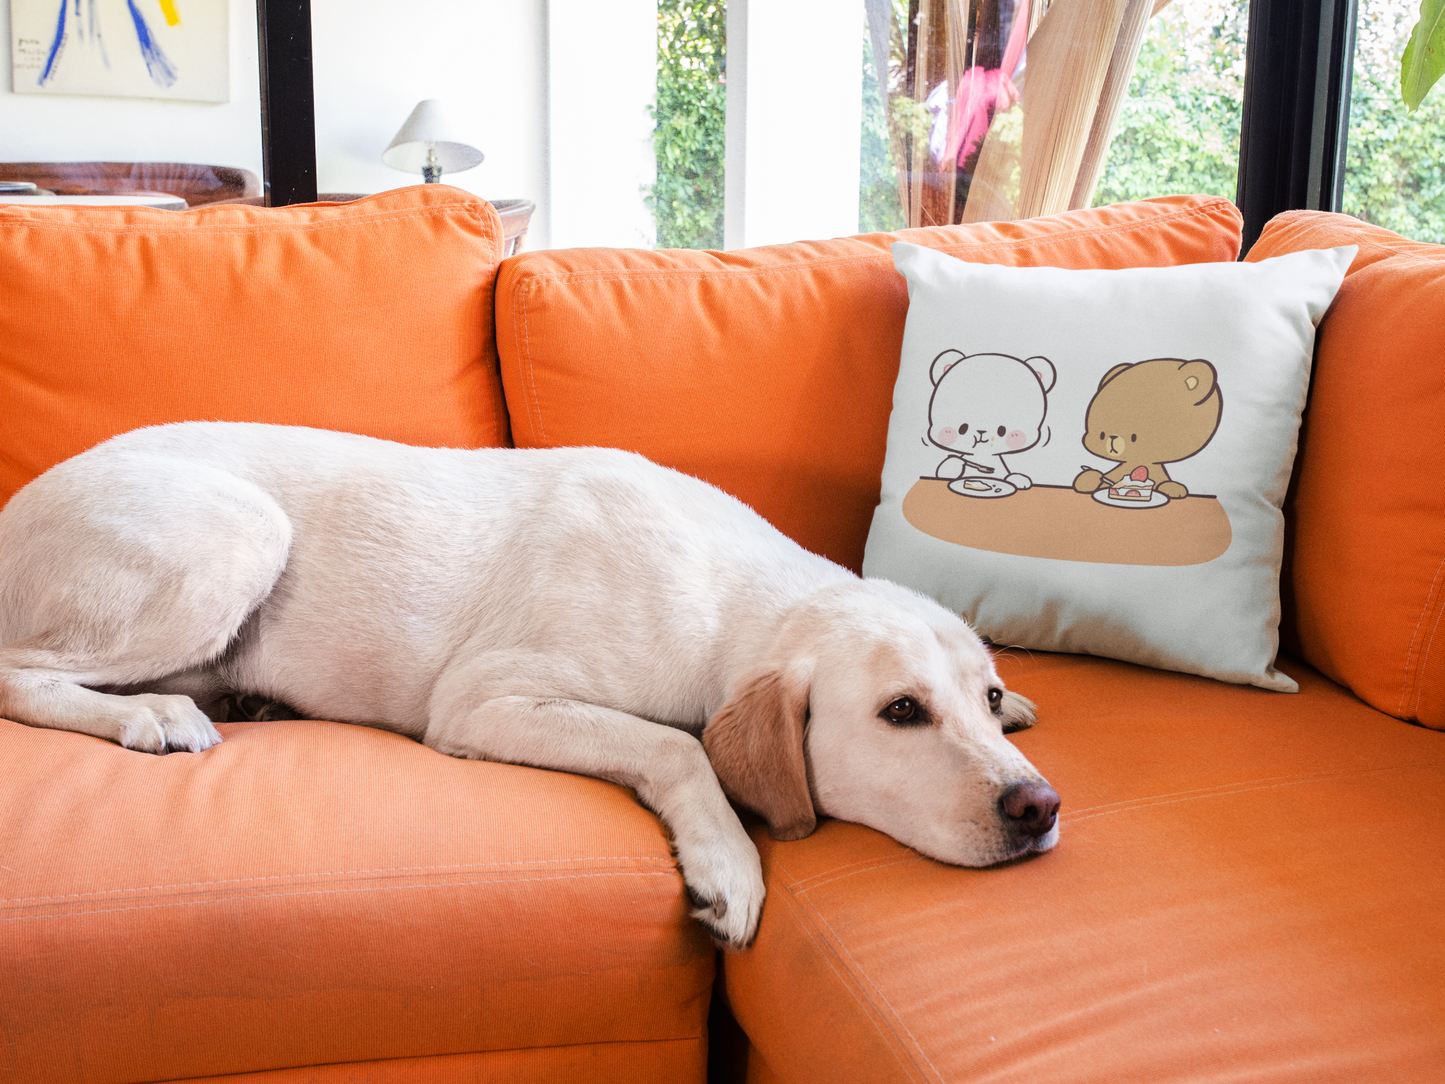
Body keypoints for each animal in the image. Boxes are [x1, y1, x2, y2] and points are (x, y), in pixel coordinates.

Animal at [926, 349, 1057, 491]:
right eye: (962, 428)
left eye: (1002, 430)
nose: (981, 431)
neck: (983, 454)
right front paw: (954, 462)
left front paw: (1018, 479)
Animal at [1072, 358, 1222, 500]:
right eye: (1101, 435)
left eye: (1134, 437)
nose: (1113, 438)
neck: (1140, 459)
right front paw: (1089, 478)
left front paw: (1173, 488)